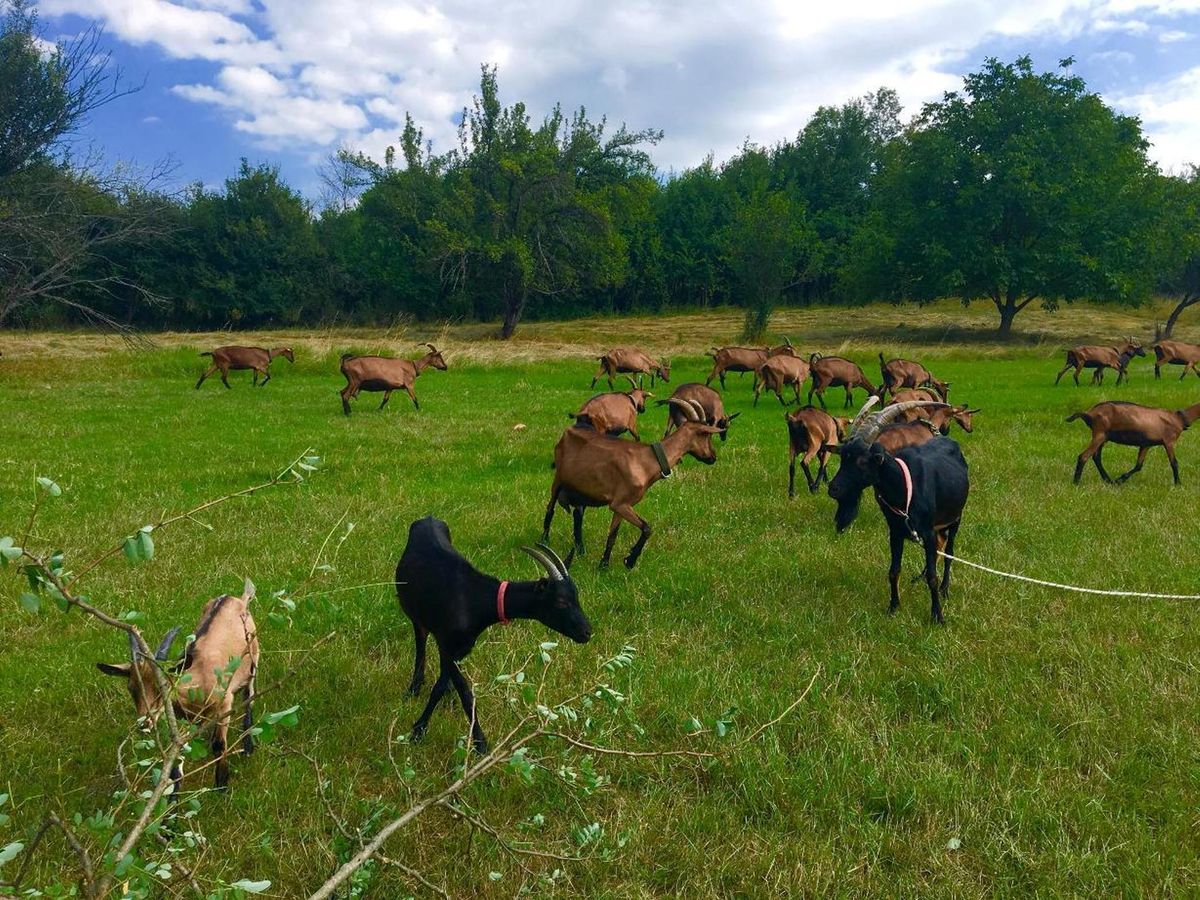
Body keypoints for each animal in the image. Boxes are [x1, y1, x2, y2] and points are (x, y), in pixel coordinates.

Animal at [98, 580, 260, 792]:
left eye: (163, 687)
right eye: (131, 688)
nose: (145, 723)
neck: (199, 680)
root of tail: (238, 599)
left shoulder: (224, 702)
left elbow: (219, 745)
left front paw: (221, 787)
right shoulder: (179, 718)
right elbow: (178, 755)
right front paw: (172, 797)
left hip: (253, 660)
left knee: (249, 695)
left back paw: (248, 746)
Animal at [393, 518, 590, 758]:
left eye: (577, 596)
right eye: (561, 601)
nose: (587, 632)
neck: (475, 601)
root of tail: (428, 518)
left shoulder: (461, 648)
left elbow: (442, 684)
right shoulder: (447, 645)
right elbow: (464, 693)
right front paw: (477, 744)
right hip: (416, 616)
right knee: (420, 642)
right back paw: (414, 687)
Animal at [544, 400, 720, 571]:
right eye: (706, 435)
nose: (713, 457)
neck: (647, 460)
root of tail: (571, 429)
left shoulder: (620, 506)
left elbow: (613, 535)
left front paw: (603, 565)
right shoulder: (621, 503)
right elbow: (647, 528)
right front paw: (630, 560)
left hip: (582, 490)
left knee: (578, 515)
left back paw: (581, 550)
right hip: (558, 480)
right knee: (550, 509)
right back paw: (545, 540)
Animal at [830, 400, 969, 628]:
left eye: (862, 461)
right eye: (843, 458)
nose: (833, 488)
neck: (905, 487)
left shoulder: (927, 531)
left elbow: (933, 576)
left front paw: (937, 616)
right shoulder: (895, 532)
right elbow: (893, 571)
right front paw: (893, 607)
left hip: (955, 518)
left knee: (949, 551)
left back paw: (945, 589)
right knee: (939, 547)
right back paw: (919, 578)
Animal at [1070, 400, 1200, 487]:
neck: (1179, 418)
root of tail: (1089, 413)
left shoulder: (1146, 444)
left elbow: (1138, 465)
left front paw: (1120, 479)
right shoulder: (1169, 441)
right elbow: (1174, 463)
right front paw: (1178, 484)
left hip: (1102, 437)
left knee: (1096, 457)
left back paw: (1109, 480)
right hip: (1099, 434)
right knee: (1083, 456)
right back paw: (1076, 483)